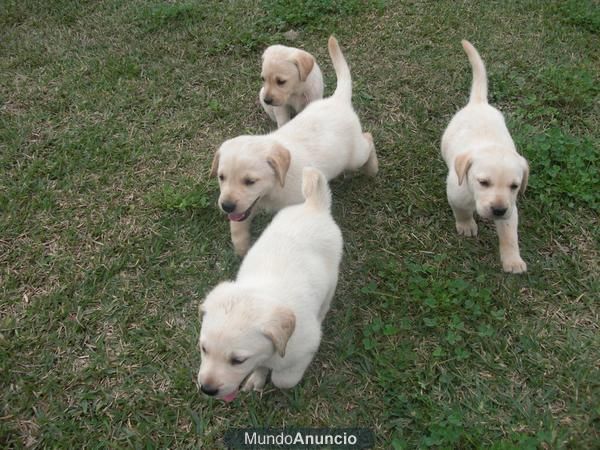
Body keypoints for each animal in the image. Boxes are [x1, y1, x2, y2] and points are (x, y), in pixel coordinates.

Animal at [198, 168, 342, 400]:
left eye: (238, 361)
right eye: (204, 349)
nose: (207, 389)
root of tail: (312, 206)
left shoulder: (306, 347)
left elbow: (283, 379)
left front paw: (272, 376)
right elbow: (262, 366)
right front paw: (258, 376)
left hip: (332, 279)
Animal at [440, 41, 528, 274]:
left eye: (514, 186)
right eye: (483, 182)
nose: (498, 210)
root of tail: (478, 102)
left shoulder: (511, 209)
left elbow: (509, 235)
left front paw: (513, 260)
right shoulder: (456, 194)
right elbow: (461, 211)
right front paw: (466, 225)